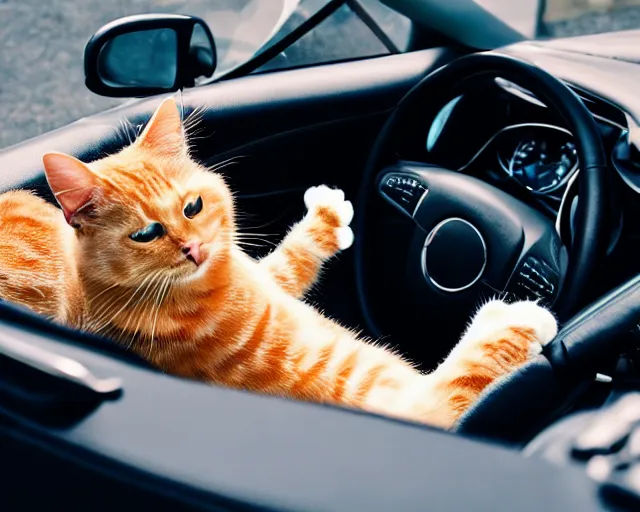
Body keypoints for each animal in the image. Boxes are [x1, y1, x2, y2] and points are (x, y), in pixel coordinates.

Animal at [0, 96, 556, 428]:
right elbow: (456, 382)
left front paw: (326, 217)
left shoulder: (259, 273)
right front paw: (515, 321)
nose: (194, 250)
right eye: (145, 234)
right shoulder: (396, 404)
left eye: (192, 206)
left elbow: (290, 262)